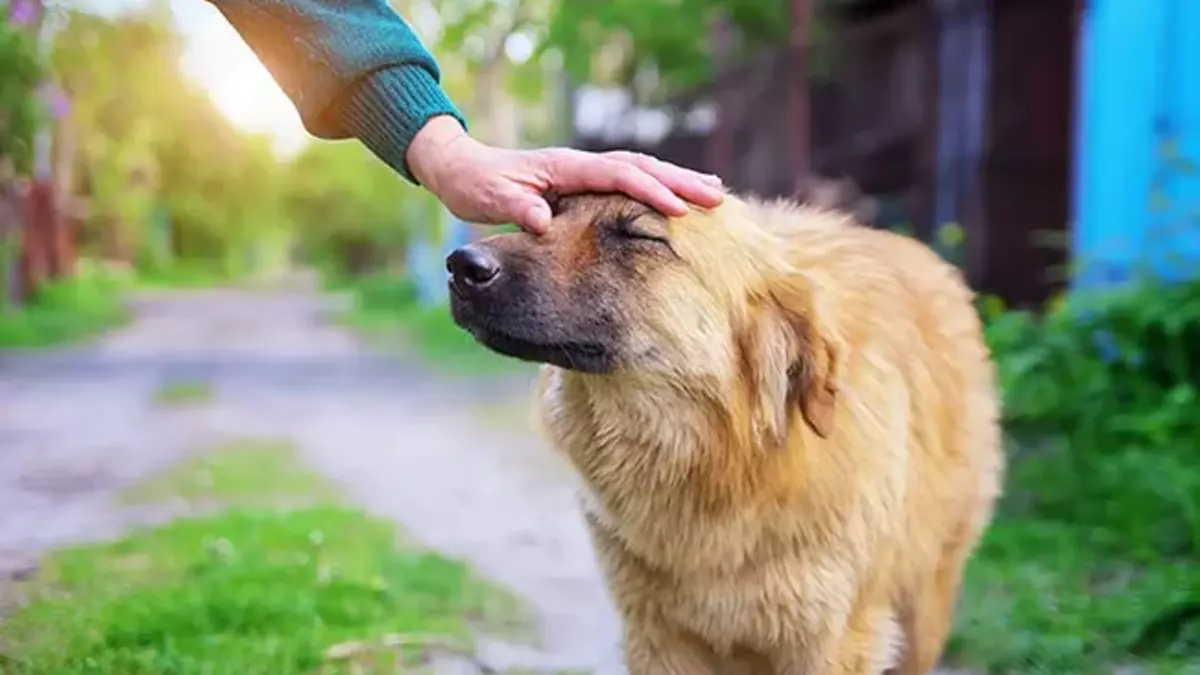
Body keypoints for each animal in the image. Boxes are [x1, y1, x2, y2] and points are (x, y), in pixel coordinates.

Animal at [446, 189, 998, 672]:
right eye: (549, 211)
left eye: (639, 236)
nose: (461, 265)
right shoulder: (658, 637)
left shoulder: (832, 642)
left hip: (924, 612)